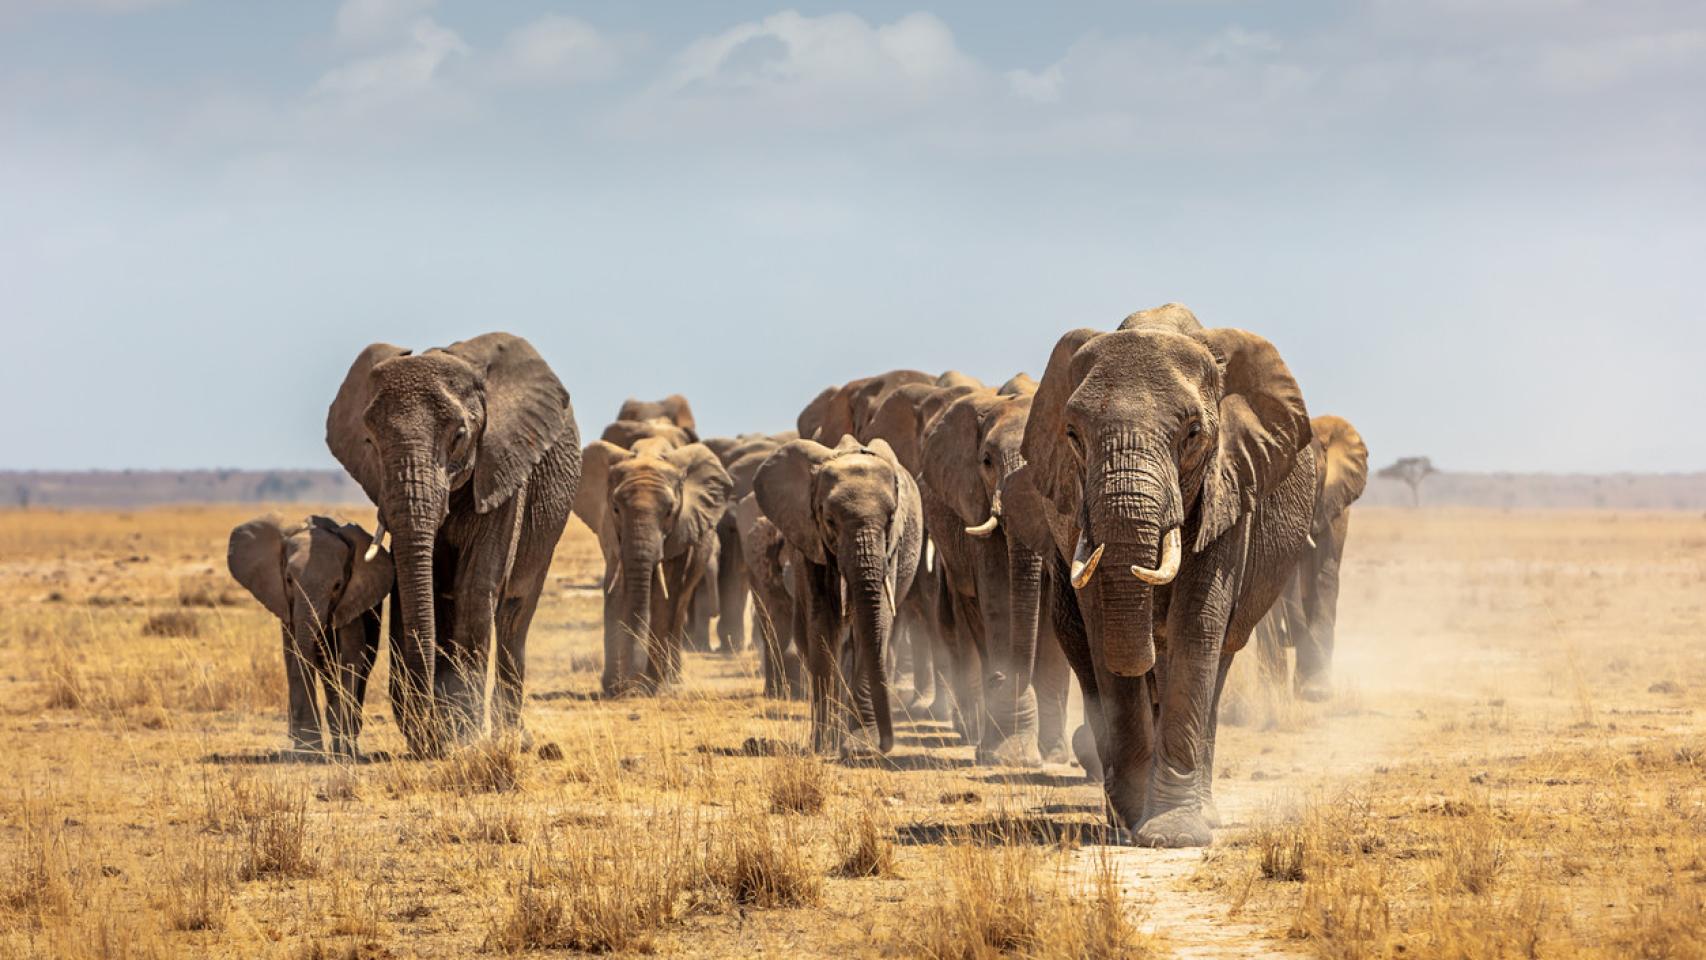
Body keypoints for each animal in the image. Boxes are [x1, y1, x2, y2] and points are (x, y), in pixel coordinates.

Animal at [227, 514, 393, 758]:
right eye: (288, 580)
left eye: (337, 585)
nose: (292, 729)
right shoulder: (284, 602)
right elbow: (293, 653)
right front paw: (308, 751)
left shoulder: (352, 597)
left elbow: (350, 656)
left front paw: (335, 749)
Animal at [326, 333, 580, 756]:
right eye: (370, 441)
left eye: (459, 437)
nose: (426, 733)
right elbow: (412, 589)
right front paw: (436, 738)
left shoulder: (503, 470)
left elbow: (474, 588)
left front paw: (463, 738)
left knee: (513, 617)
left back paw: (511, 737)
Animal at [574, 438, 733, 695]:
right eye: (616, 509)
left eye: (669, 512)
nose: (631, 683)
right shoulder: (609, 530)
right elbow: (616, 589)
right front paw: (614, 688)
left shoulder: (681, 531)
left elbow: (663, 596)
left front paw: (651, 687)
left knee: (679, 607)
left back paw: (673, 681)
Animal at [754, 436, 924, 755]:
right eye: (830, 520)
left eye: (891, 518)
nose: (885, 745)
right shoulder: (810, 540)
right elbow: (823, 626)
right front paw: (823, 745)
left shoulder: (892, 550)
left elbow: (878, 622)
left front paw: (861, 741)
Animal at [1007, 302, 1317, 847]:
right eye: (1073, 435)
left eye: (1192, 433)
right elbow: (1104, 629)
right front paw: (1133, 822)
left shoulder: (1230, 484)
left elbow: (1196, 624)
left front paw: (1174, 835)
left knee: (1218, 658)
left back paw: (1202, 812)